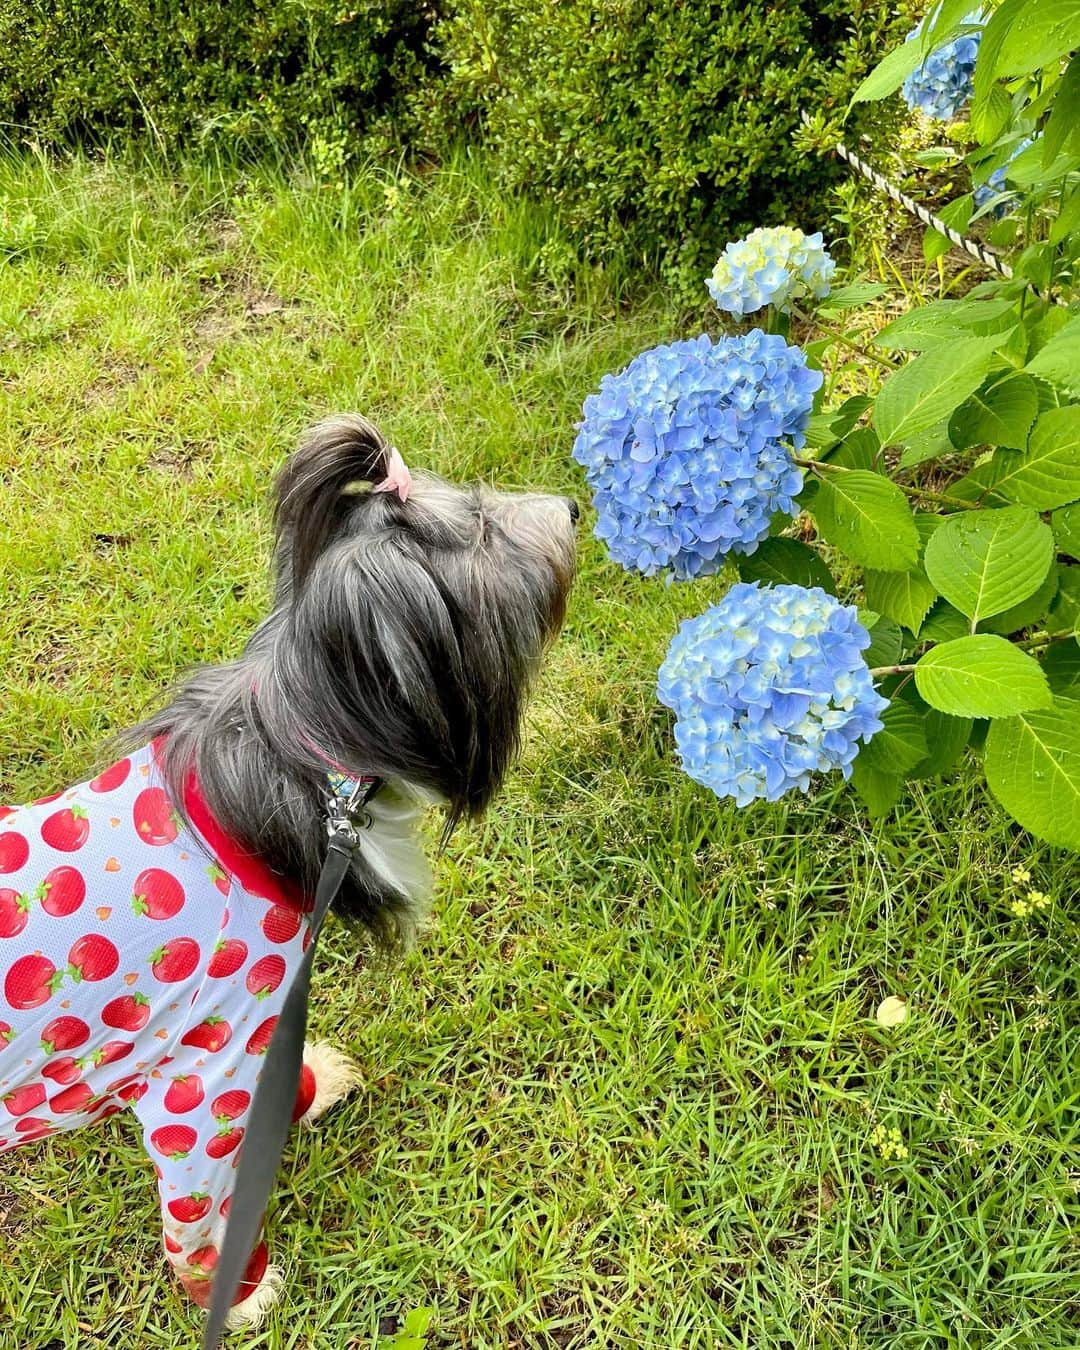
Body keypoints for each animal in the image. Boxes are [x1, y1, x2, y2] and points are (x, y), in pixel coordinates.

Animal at [0, 415, 577, 1323]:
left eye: (480, 494)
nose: (576, 509)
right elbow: (199, 1213)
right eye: (484, 529)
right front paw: (236, 1294)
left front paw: (314, 1088)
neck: (296, 773)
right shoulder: (198, 1079)